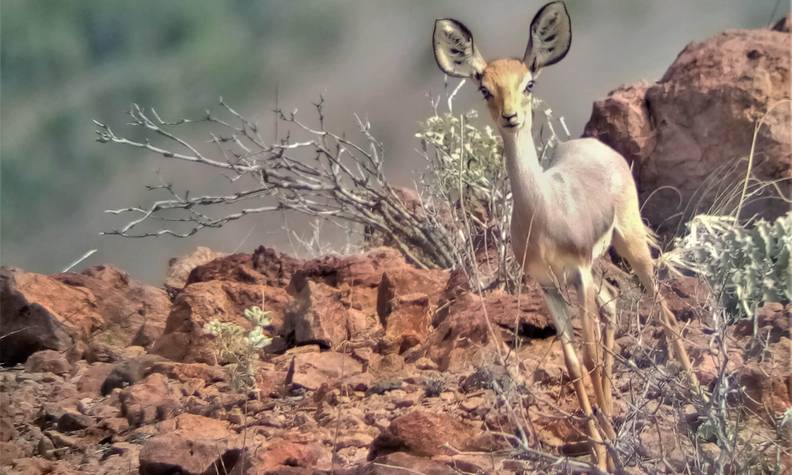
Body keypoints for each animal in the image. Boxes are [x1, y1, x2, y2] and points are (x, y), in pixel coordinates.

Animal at [434, 1, 700, 472]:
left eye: (529, 82)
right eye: (484, 88)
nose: (511, 117)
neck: (544, 212)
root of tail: (596, 148)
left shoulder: (576, 273)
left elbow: (591, 357)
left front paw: (611, 455)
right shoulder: (546, 285)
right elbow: (574, 362)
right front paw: (598, 454)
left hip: (628, 246)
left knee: (662, 310)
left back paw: (701, 402)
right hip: (596, 270)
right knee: (613, 304)